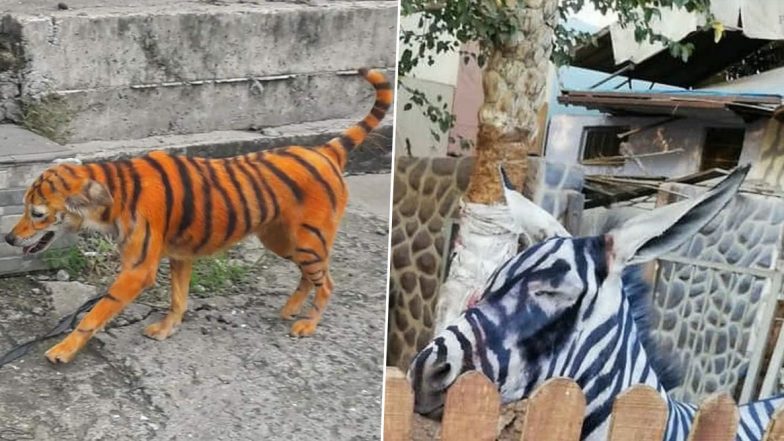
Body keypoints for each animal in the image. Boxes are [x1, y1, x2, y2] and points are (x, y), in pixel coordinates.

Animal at [3, 68, 392, 364]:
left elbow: (95, 313)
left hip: (308, 240)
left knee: (327, 281)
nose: (8, 238)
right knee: (310, 277)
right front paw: (165, 329)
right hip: (282, 239)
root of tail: (325, 150)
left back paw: (307, 324)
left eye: (37, 213)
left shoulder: (138, 269)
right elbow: (179, 298)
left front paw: (62, 349)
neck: (114, 193)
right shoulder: (179, 255)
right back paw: (290, 310)